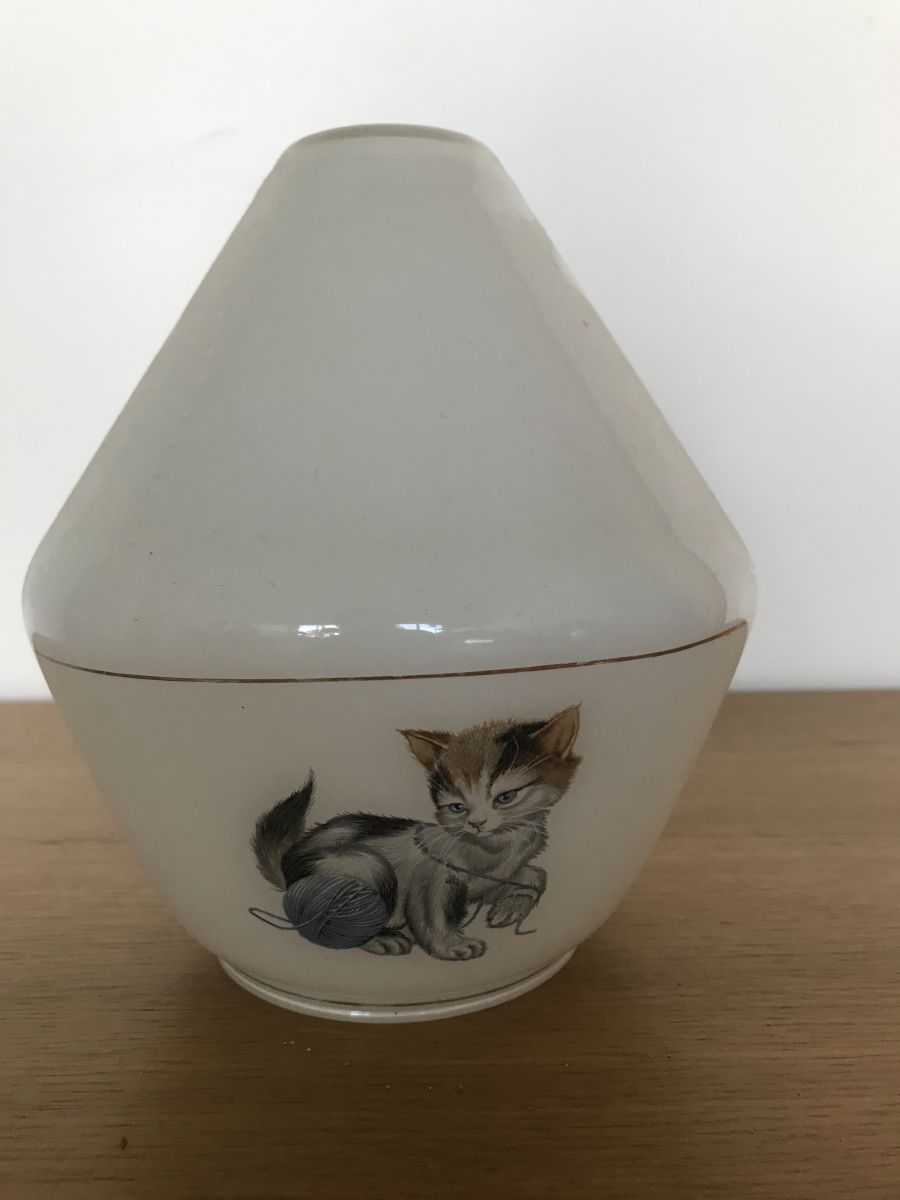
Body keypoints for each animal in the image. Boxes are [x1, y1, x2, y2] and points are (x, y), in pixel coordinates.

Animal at [251, 705, 581, 960]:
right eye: (457, 807)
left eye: (506, 797)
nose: (477, 824)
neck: (495, 847)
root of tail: (287, 867)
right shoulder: (430, 874)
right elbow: (431, 912)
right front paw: (451, 946)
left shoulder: (490, 878)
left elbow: (536, 875)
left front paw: (510, 908)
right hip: (363, 866)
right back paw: (380, 939)